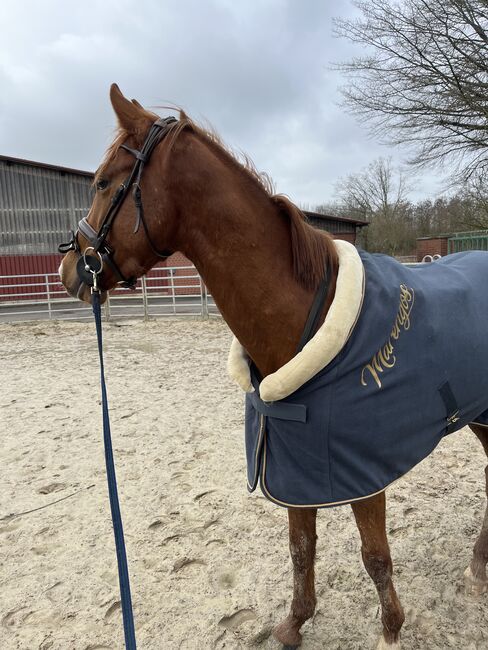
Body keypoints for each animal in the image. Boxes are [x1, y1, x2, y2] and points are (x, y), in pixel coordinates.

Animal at [58, 83, 488, 649]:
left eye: (104, 182)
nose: (68, 269)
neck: (306, 319)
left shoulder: (364, 475)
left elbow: (376, 556)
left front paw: (390, 631)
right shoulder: (295, 466)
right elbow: (301, 548)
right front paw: (294, 623)